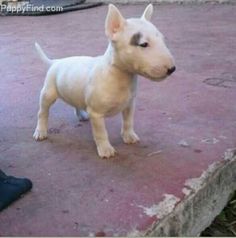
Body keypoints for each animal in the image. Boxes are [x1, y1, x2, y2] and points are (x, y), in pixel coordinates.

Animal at [32, 3, 175, 158]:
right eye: (143, 44)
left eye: (162, 39)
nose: (172, 69)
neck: (119, 75)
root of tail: (55, 62)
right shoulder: (96, 114)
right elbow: (101, 133)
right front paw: (106, 149)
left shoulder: (130, 105)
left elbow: (128, 121)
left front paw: (129, 136)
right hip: (48, 93)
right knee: (42, 112)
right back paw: (40, 132)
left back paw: (81, 115)